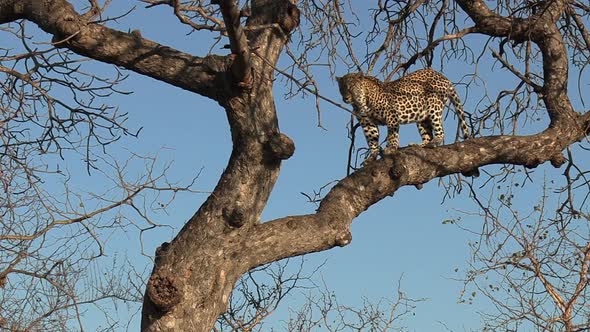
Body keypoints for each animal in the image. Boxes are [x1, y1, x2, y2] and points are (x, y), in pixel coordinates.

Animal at [338, 68, 472, 161]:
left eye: (351, 87)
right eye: (341, 88)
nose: (345, 98)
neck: (360, 102)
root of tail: (444, 77)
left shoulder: (391, 114)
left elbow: (392, 134)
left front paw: (391, 148)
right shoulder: (367, 122)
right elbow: (372, 139)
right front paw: (372, 156)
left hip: (435, 107)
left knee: (440, 130)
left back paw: (435, 142)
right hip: (421, 116)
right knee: (427, 134)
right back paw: (420, 145)